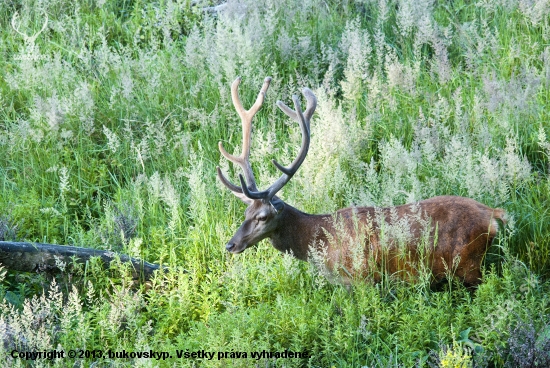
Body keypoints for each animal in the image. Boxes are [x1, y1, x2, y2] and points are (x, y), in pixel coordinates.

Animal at [217, 76, 508, 286]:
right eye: (245, 213)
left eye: (263, 216)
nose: (230, 245)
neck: (319, 242)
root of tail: (493, 215)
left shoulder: (360, 280)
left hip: (469, 266)